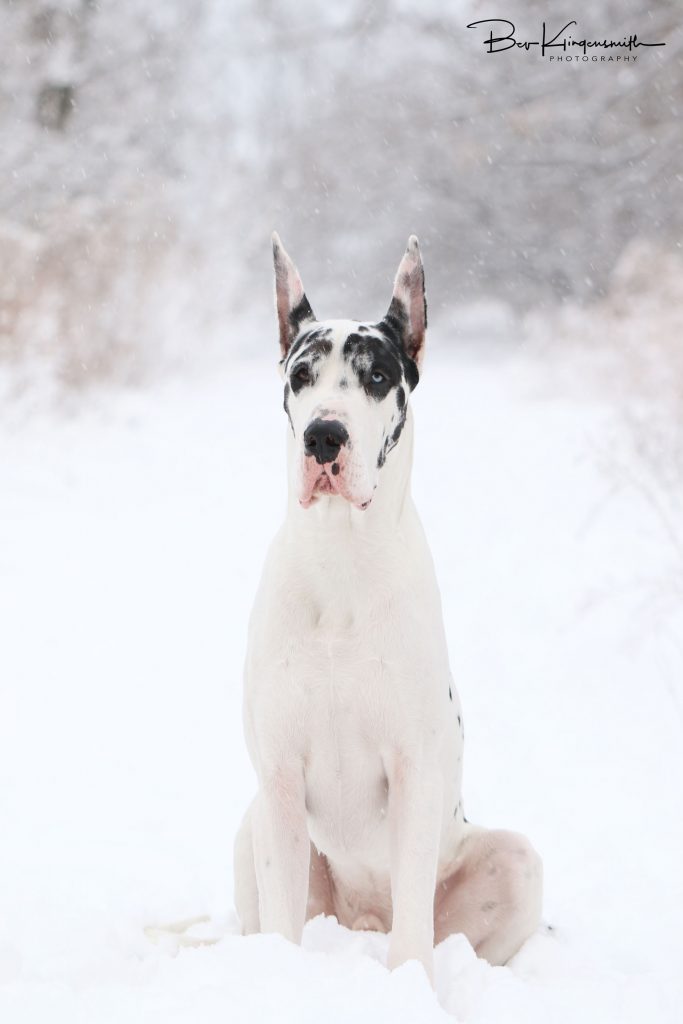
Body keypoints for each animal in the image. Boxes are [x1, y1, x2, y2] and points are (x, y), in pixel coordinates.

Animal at [232, 235, 540, 978]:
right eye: (301, 374)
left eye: (376, 377)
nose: (324, 436)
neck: (343, 562)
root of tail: (359, 920)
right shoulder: (277, 779)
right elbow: (281, 916)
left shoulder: (414, 771)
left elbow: (412, 933)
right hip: (249, 828)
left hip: (516, 859)